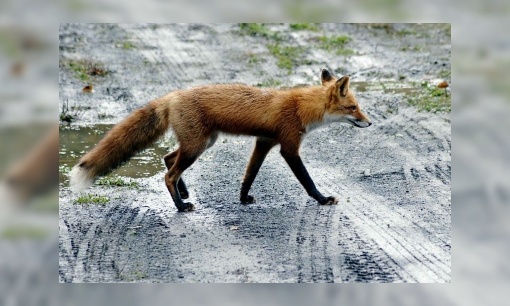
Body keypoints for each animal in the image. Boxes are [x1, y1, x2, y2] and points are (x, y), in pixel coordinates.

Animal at [70, 68, 370, 213]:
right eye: (354, 108)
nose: (370, 123)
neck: (301, 107)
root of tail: (173, 95)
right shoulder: (288, 147)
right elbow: (307, 181)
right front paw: (322, 199)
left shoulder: (263, 142)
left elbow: (249, 174)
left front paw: (243, 198)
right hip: (197, 146)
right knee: (169, 173)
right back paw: (181, 206)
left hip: (202, 143)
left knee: (167, 159)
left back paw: (183, 193)